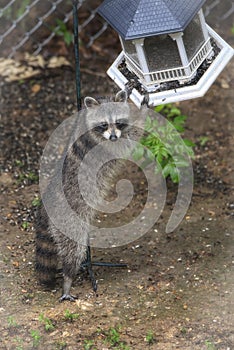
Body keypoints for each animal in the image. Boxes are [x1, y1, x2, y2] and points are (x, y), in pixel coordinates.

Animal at [35, 90, 140, 300]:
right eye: (104, 124)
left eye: (118, 122)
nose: (113, 136)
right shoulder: (103, 145)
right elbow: (129, 142)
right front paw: (145, 111)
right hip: (69, 224)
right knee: (73, 251)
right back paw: (67, 280)